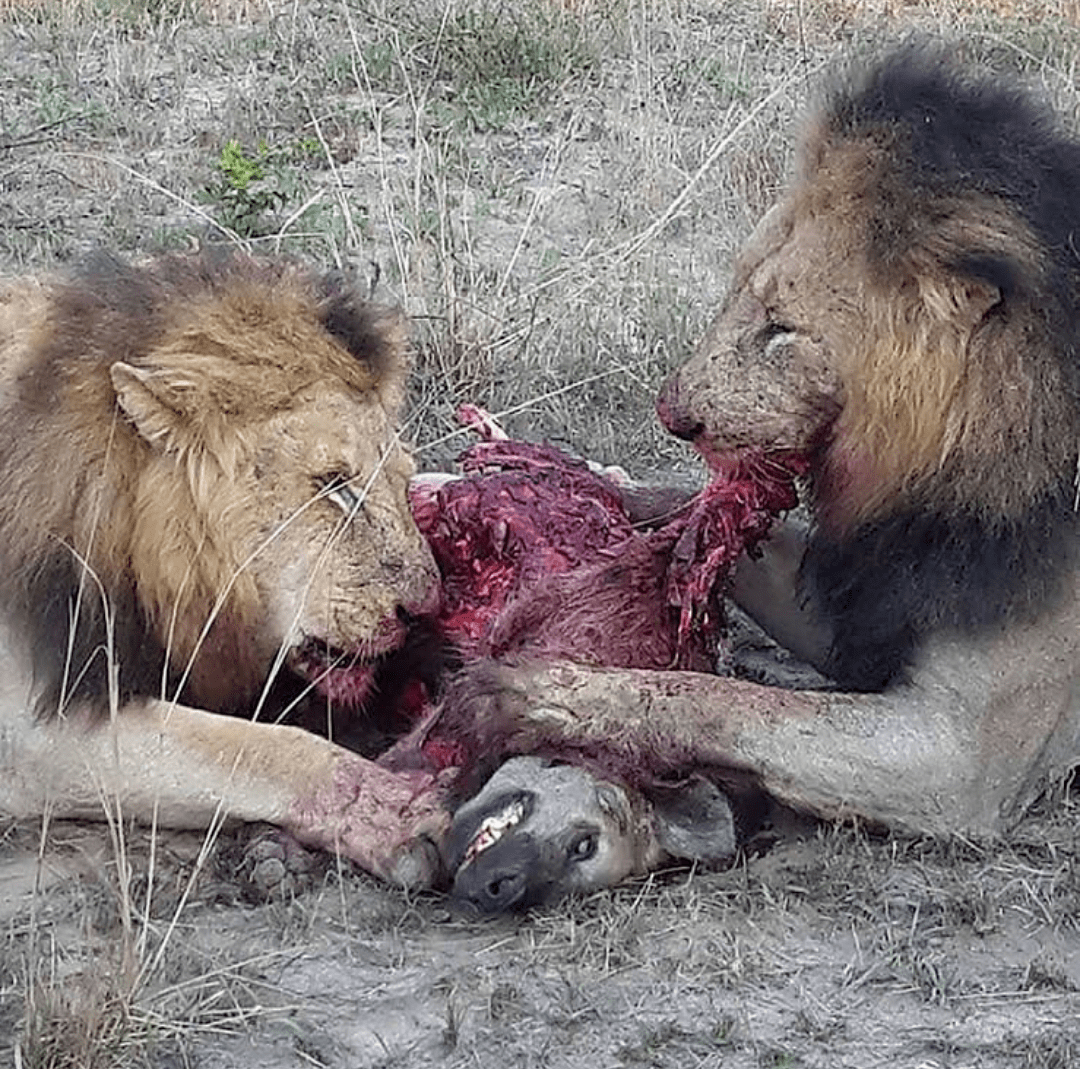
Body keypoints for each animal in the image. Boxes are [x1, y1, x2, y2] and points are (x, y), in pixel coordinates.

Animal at [0, 250, 451, 885]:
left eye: (403, 479)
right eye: (332, 484)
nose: (427, 608)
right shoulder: (32, 733)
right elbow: (269, 749)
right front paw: (398, 814)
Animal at [436, 41, 1080, 885]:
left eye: (781, 329)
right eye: (736, 290)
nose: (673, 414)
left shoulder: (960, 757)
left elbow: (728, 701)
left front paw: (536, 692)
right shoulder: (864, 600)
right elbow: (698, 518)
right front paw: (568, 480)